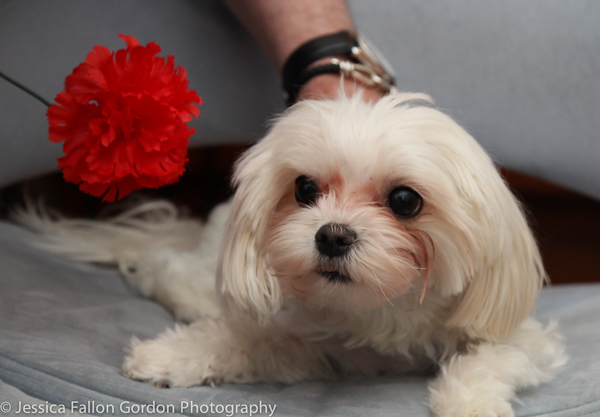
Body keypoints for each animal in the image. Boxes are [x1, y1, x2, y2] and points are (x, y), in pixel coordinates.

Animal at [21, 93, 568, 416]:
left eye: (405, 200)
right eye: (305, 188)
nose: (332, 236)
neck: (383, 311)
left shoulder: (519, 337)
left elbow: (491, 359)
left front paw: (469, 403)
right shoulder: (312, 337)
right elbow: (244, 337)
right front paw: (173, 355)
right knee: (169, 270)